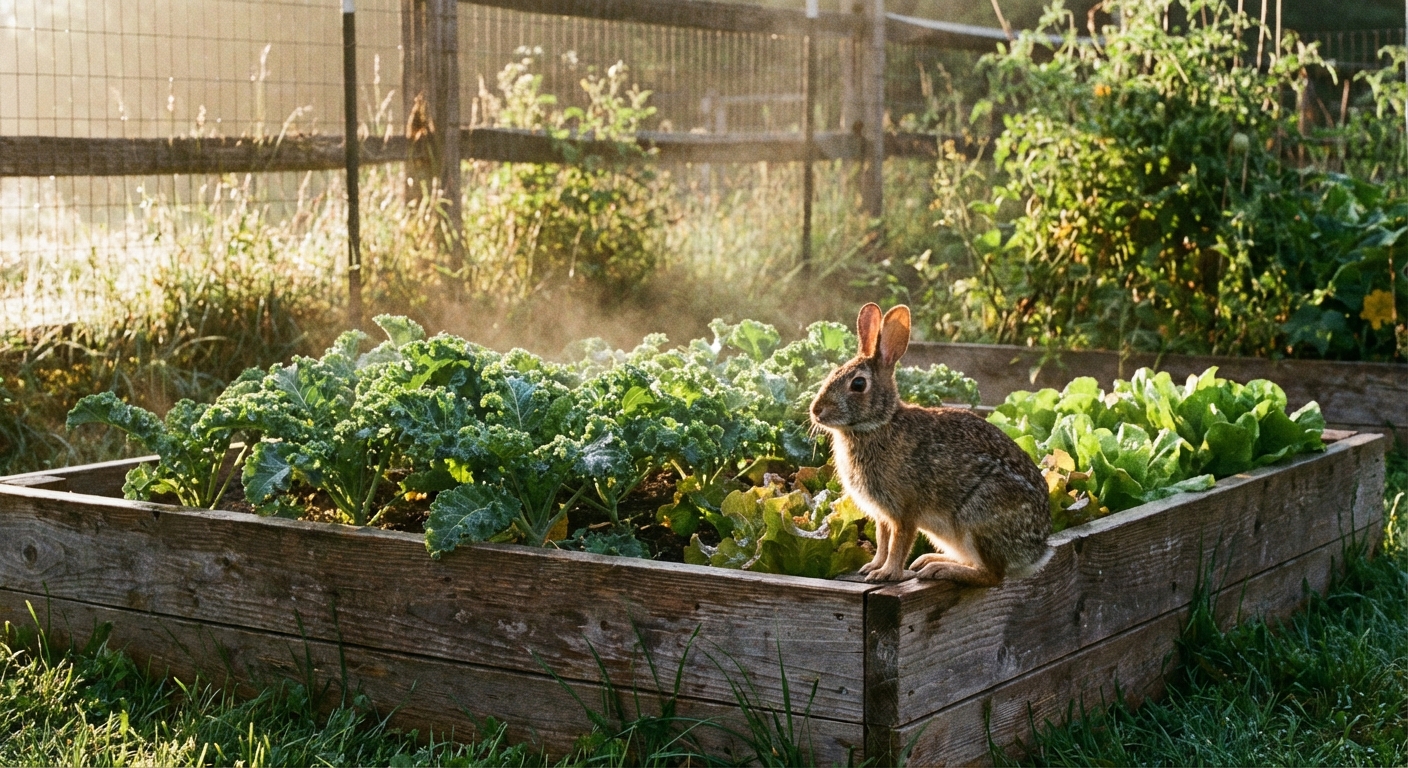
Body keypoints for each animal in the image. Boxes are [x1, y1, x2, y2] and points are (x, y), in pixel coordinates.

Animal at [809, 303, 1052, 586]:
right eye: (832, 373)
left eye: (858, 384)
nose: (816, 410)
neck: (879, 423)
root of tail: (1036, 552)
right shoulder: (882, 515)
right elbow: (882, 540)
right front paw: (872, 567)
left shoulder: (904, 511)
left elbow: (898, 543)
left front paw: (886, 573)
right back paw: (930, 561)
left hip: (978, 518)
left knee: (991, 575)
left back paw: (940, 569)